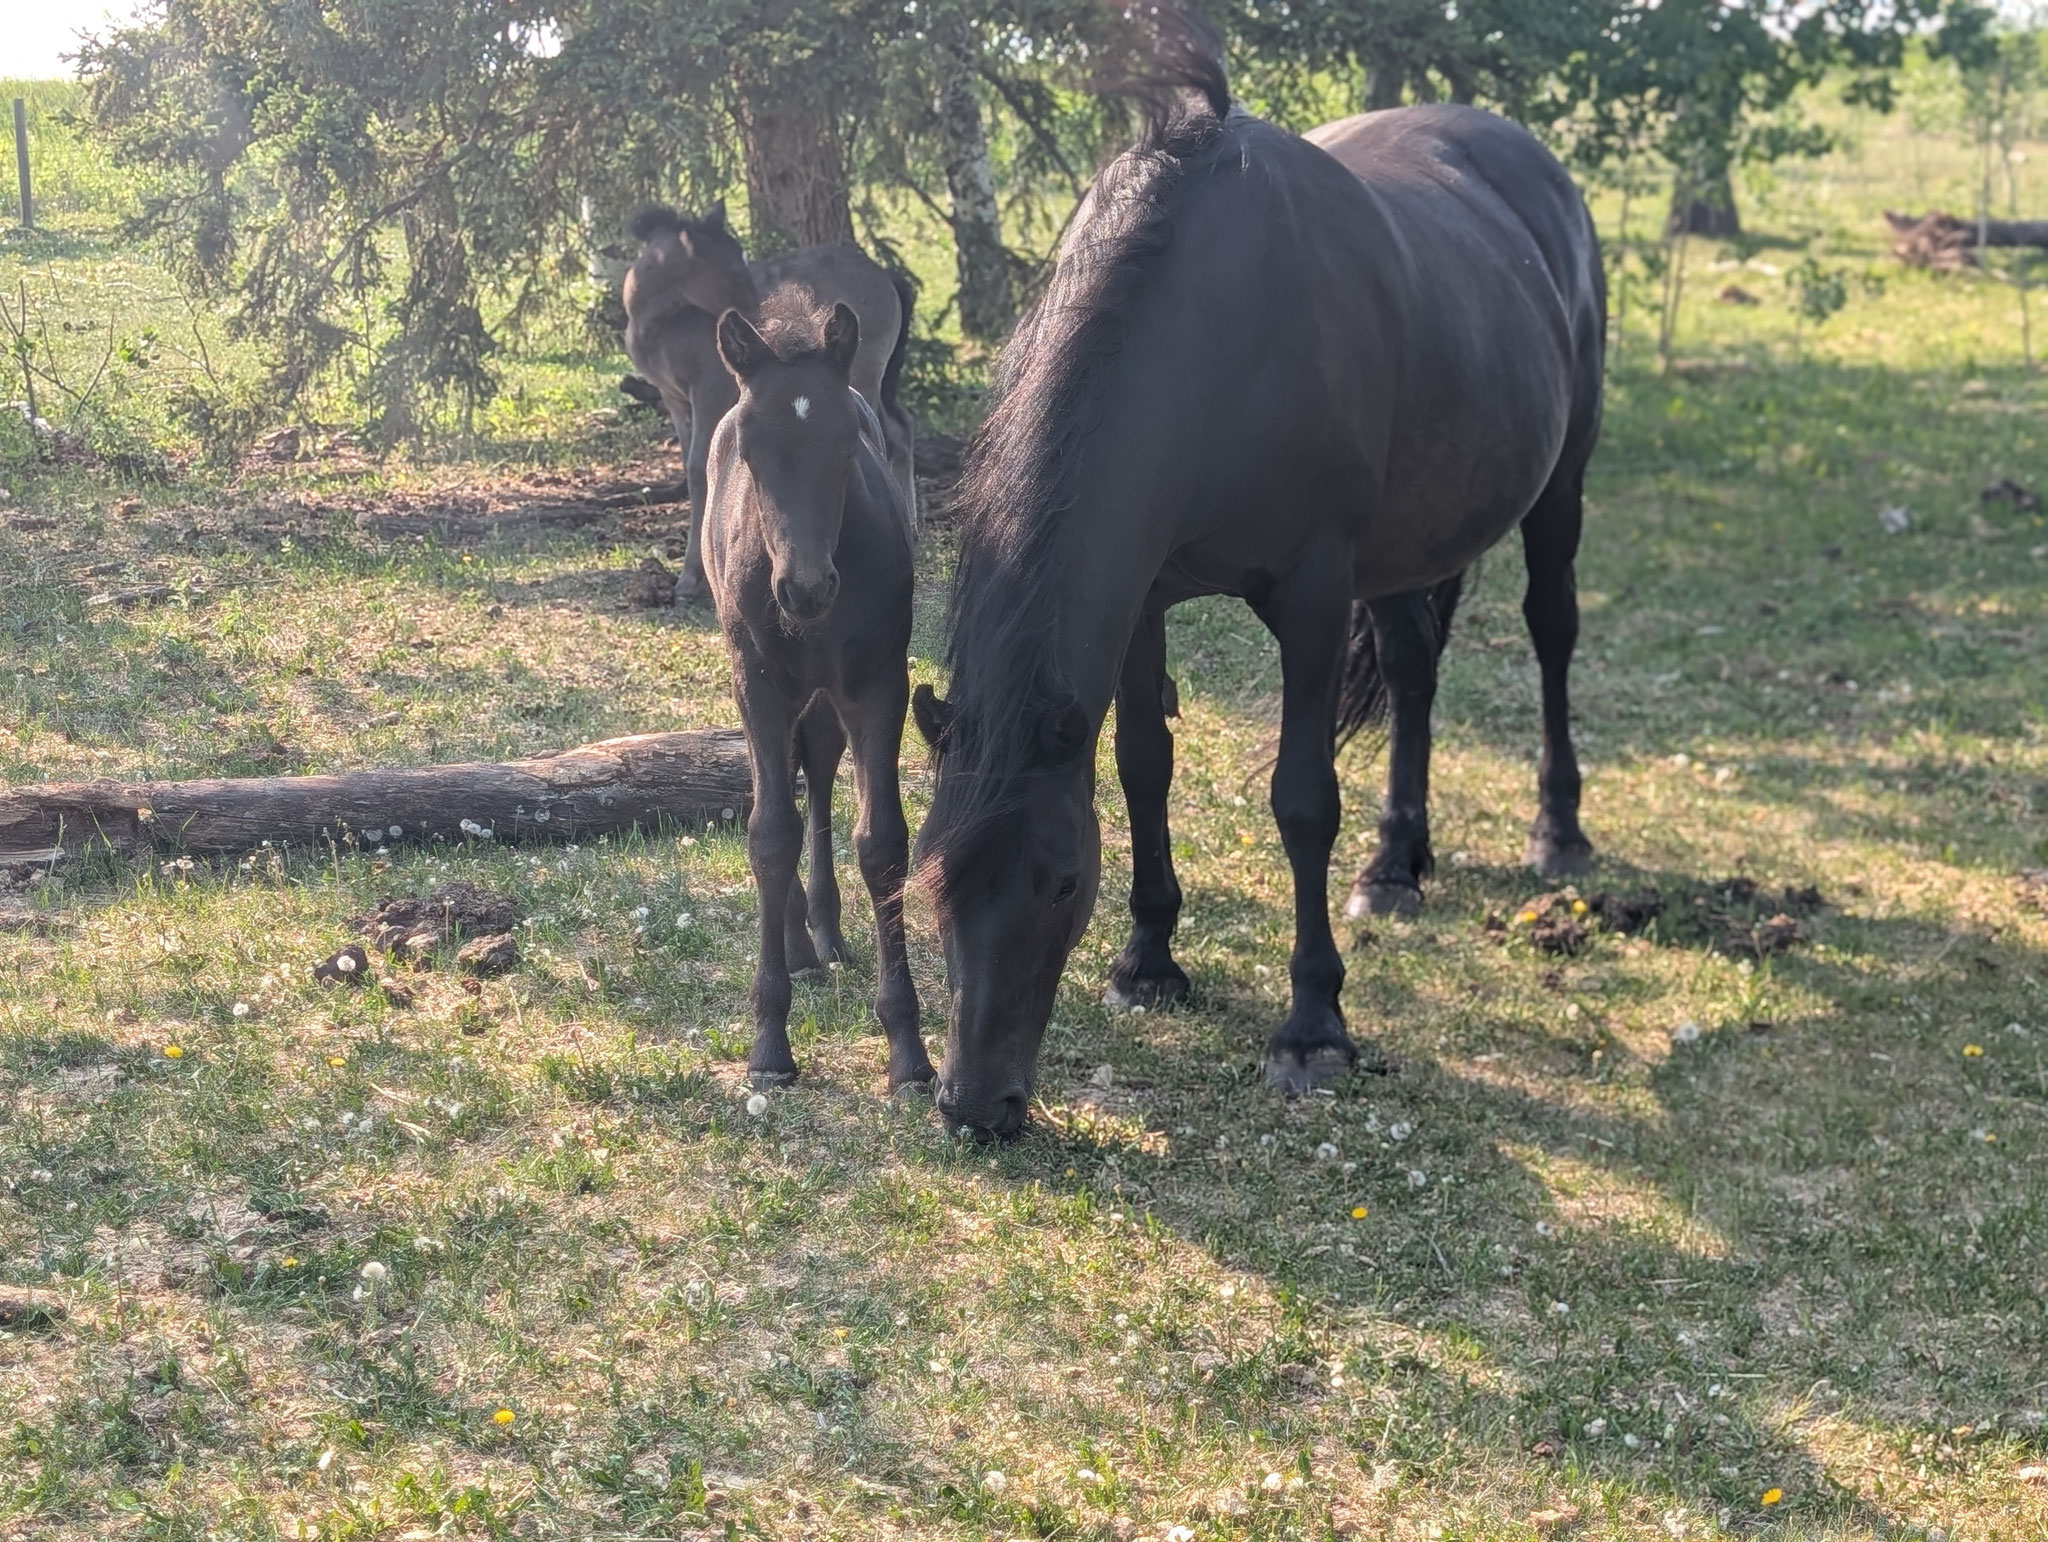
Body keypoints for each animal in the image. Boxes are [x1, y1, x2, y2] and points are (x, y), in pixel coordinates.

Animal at [624, 202, 918, 601]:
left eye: (744, 260)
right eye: (731, 268)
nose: (758, 320)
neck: (657, 324)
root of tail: (886, 275)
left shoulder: (708, 391)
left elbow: (698, 470)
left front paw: (689, 577)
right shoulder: (675, 399)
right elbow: (687, 467)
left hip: (865, 374)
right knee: (902, 428)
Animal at [700, 291, 931, 1093]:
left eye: (846, 449)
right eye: (752, 453)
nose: (804, 589)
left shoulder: (880, 683)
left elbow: (882, 842)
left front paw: (908, 1048)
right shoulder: (760, 688)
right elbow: (770, 836)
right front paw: (770, 1044)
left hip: (830, 694)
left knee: (823, 768)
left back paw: (824, 930)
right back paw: (801, 942)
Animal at [910, 39, 1604, 1140]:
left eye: (1059, 885)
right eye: (928, 877)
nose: (976, 1107)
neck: (1212, 332)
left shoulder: (1313, 598)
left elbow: (1301, 799)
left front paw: (1312, 1027)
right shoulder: (1146, 597)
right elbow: (1143, 766)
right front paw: (1148, 961)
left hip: (1558, 490)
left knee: (1552, 631)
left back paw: (1557, 833)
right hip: (1405, 545)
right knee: (1413, 671)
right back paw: (1394, 865)